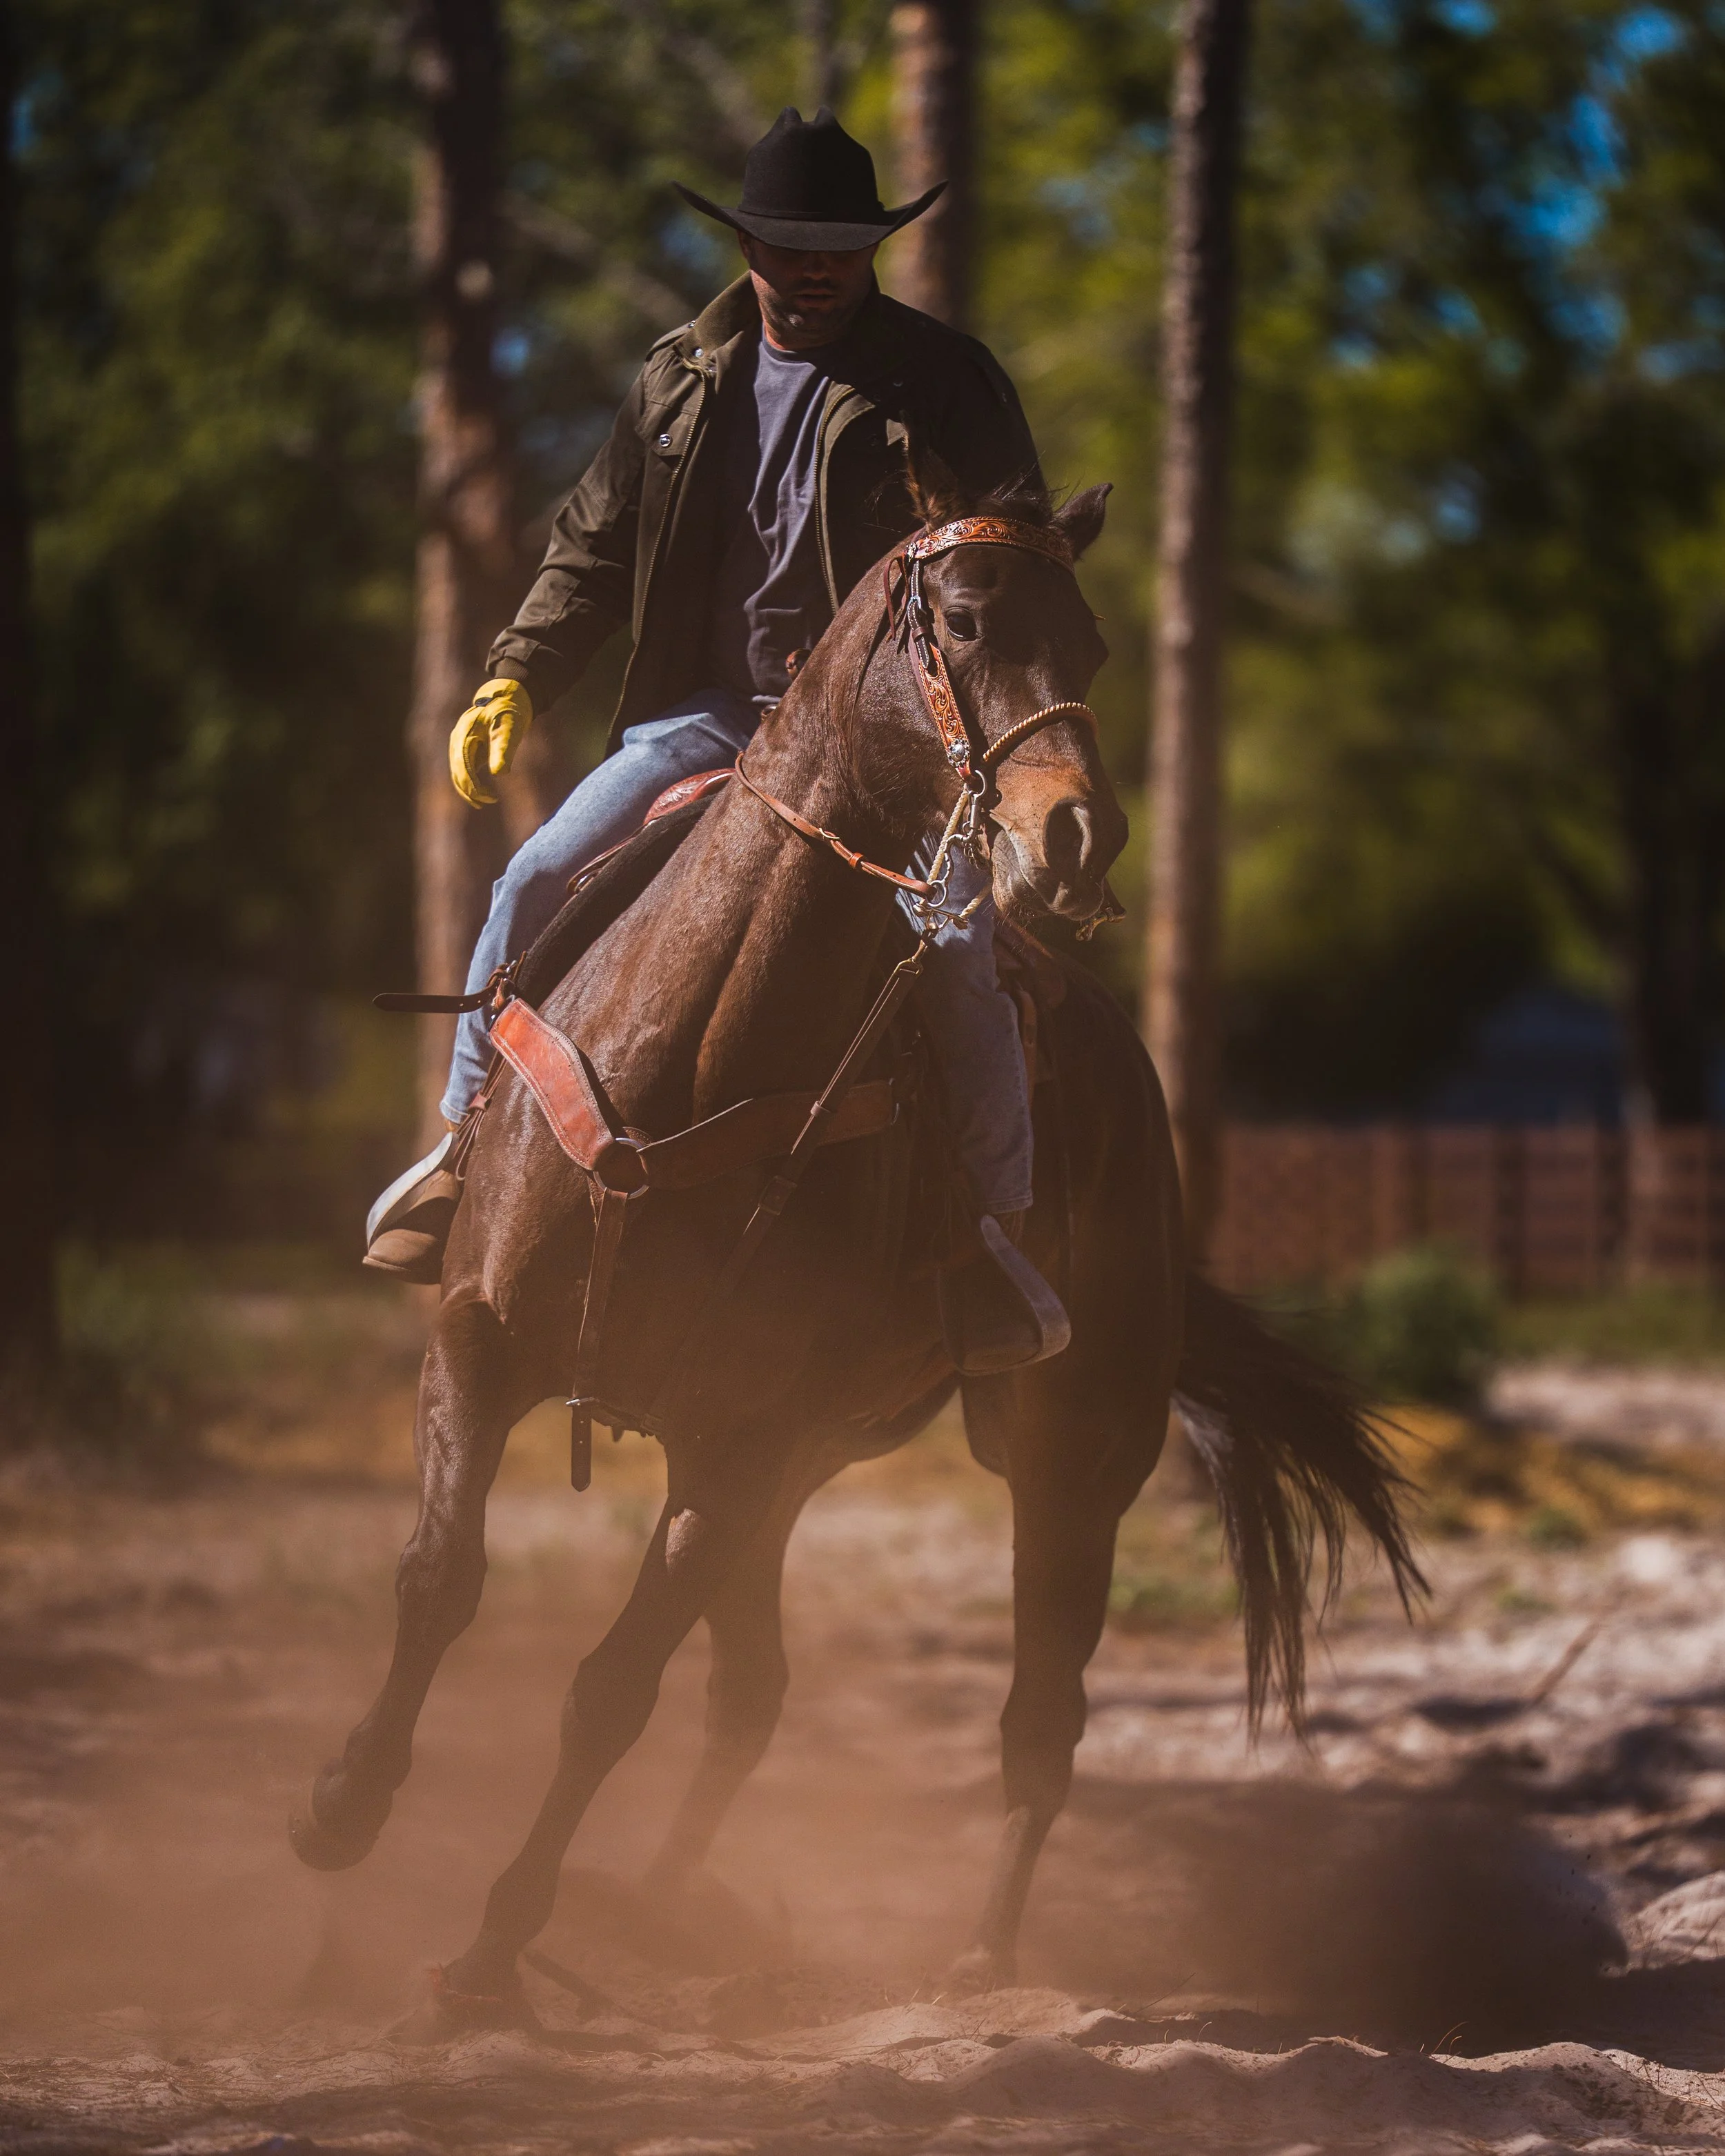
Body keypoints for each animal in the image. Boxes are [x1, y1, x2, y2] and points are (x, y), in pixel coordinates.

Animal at [289, 466, 1423, 2008]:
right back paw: (660, 1909)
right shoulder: (486, 1344)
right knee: (753, 1690)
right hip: (806, 1459)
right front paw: (342, 1808)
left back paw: (979, 1953)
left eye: (1094, 641)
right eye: (964, 618)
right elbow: (439, 1574)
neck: (690, 1061)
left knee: (1035, 1719)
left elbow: (609, 1691)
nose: (1078, 839)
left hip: (1064, 1460)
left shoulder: (740, 1446)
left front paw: (492, 1940)